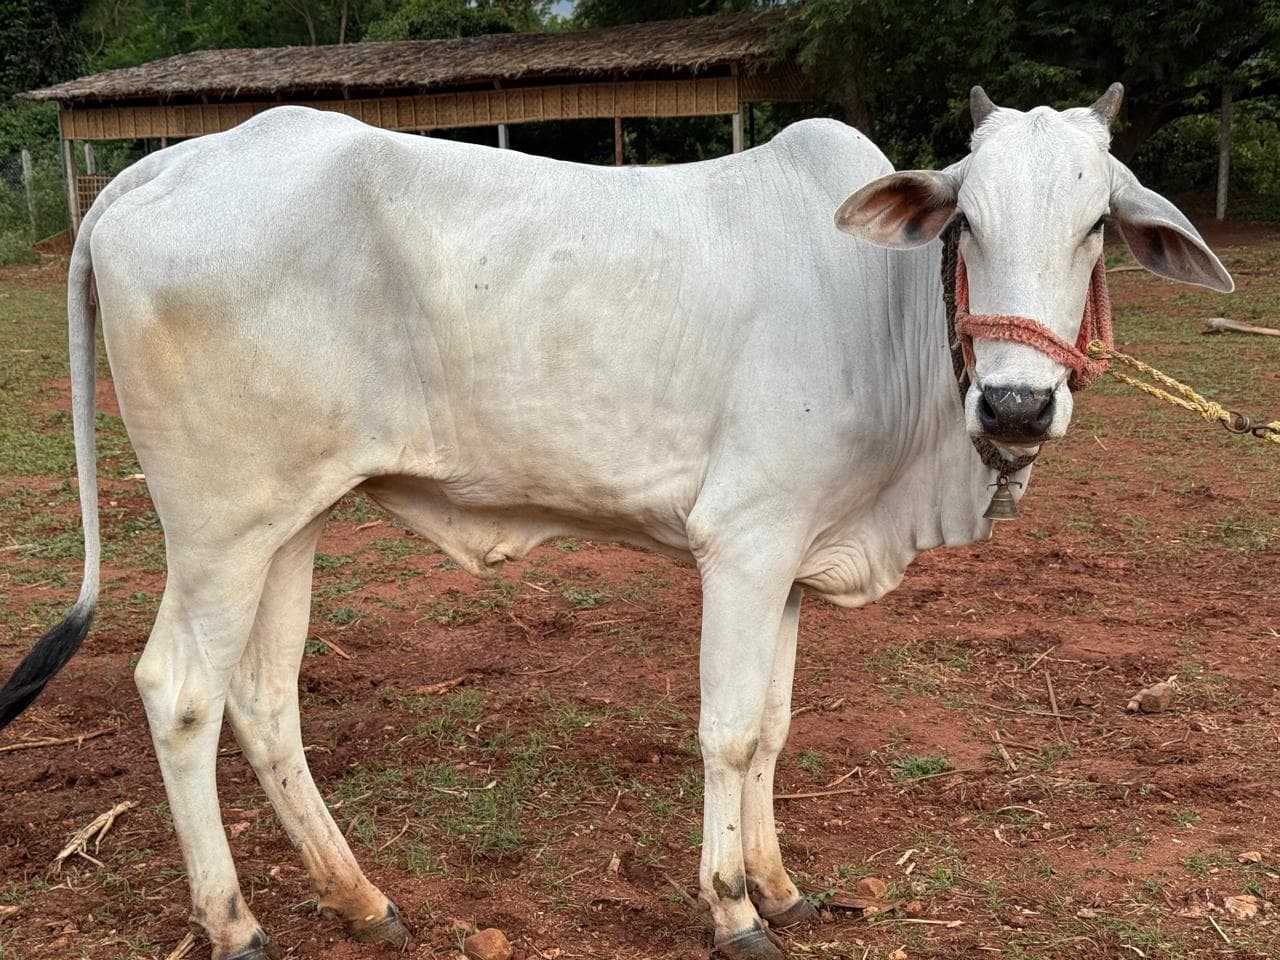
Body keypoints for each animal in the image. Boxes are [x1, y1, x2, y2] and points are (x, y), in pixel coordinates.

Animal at [0, 84, 1231, 960]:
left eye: (1096, 226)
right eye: (965, 220)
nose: (1017, 405)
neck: (880, 313)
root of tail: (159, 166)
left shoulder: (792, 558)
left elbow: (773, 727)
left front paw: (781, 886)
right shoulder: (742, 543)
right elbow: (728, 731)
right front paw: (732, 910)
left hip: (290, 518)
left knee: (263, 697)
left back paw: (360, 901)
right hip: (217, 524)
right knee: (180, 693)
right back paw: (235, 924)